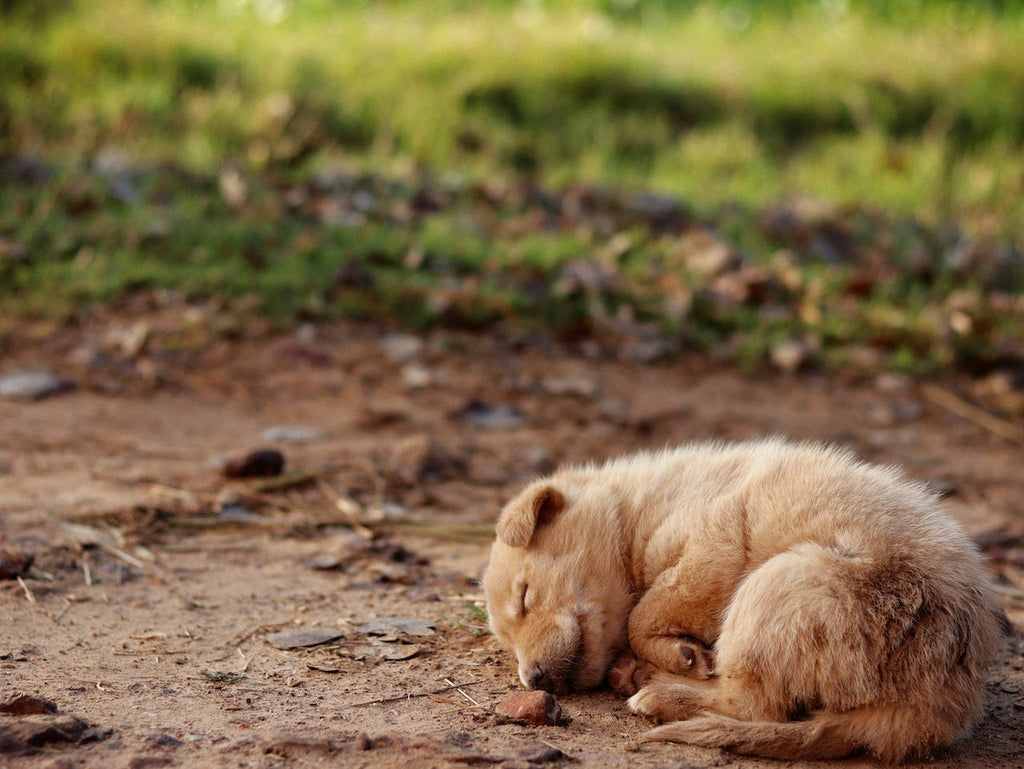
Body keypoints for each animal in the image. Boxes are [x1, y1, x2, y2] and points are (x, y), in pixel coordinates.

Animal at [481, 438, 1007, 765]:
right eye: (507, 641)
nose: (535, 679)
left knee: (754, 705)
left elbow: (643, 612)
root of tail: (934, 709)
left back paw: (659, 690)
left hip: (777, 585)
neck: (632, 512)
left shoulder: (713, 547)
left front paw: (679, 653)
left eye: (524, 597)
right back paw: (639, 676)